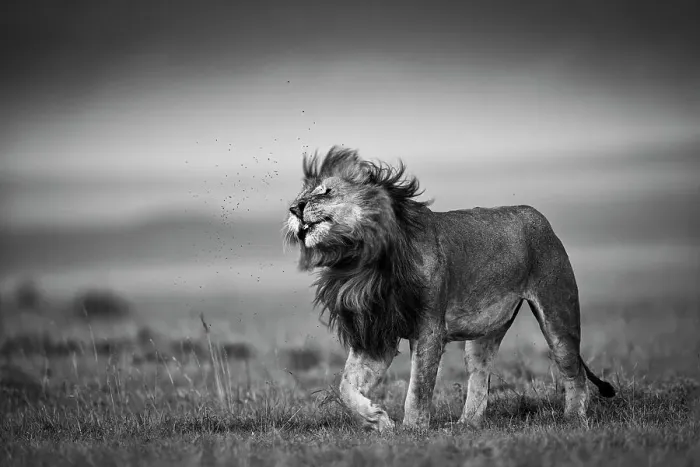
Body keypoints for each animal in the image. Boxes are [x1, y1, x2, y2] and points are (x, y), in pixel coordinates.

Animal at [284, 147, 615, 431]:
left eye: (326, 192)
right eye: (301, 195)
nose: (294, 208)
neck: (360, 261)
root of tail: (537, 216)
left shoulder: (429, 327)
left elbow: (418, 388)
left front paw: (412, 430)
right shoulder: (378, 332)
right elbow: (346, 387)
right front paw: (379, 421)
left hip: (558, 312)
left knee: (574, 370)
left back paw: (574, 419)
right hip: (484, 334)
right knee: (480, 377)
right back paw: (465, 425)